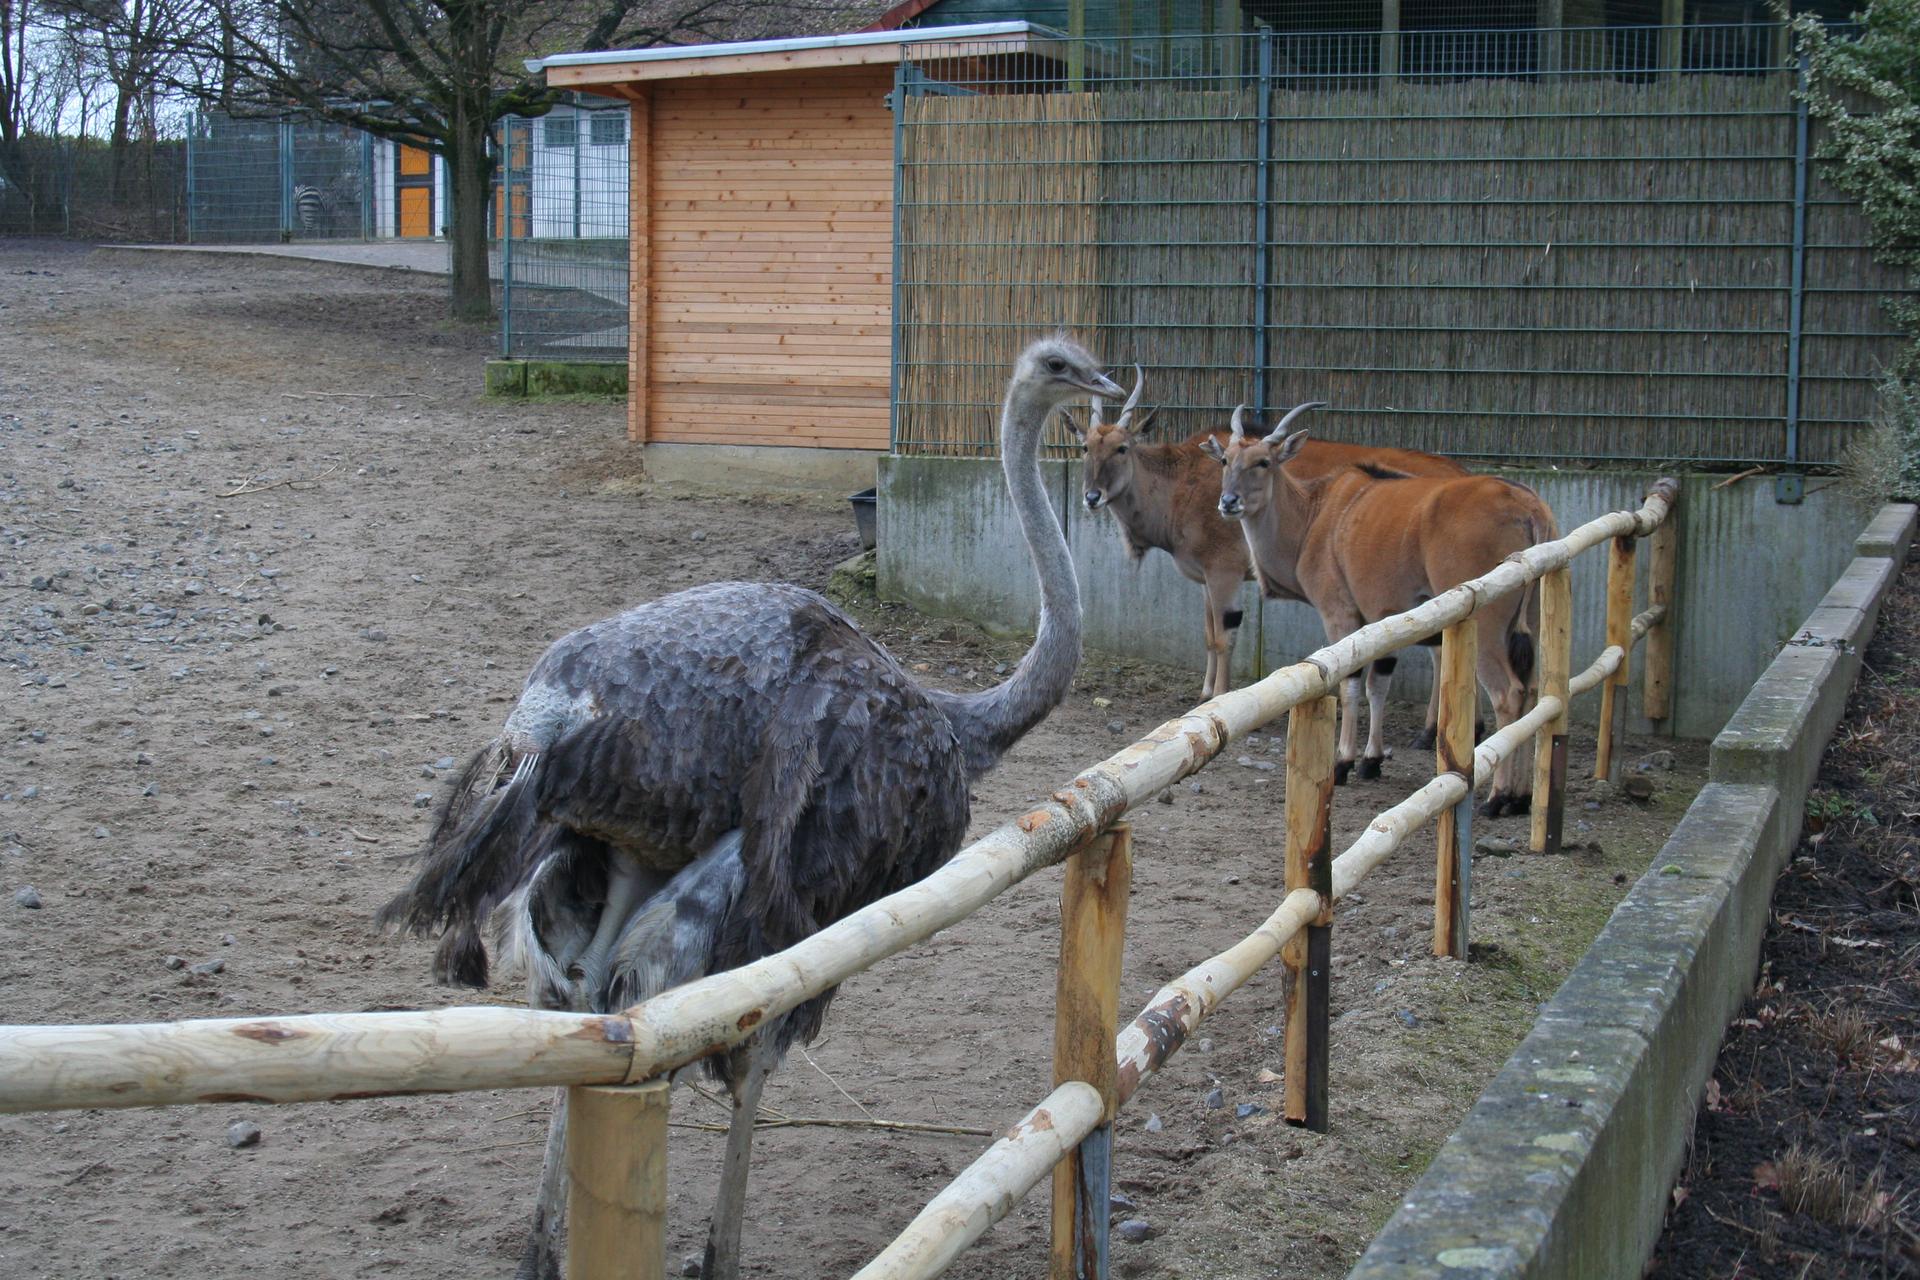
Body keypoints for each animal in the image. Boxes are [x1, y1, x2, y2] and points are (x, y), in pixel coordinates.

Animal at [1082, 368, 1466, 710]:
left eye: (1121, 448)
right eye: (1085, 447)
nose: (1091, 497)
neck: (1181, 481)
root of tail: (1458, 472)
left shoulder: (1224, 572)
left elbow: (1223, 637)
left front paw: (1216, 696)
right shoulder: (1206, 579)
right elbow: (1208, 634)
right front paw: (1204, 691)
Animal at [1213, 404, 1559, 817]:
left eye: (1263, 462)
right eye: (1225, 460)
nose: (1228, 502)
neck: (1317, 515)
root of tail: (1529, 506)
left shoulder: (1341, 616)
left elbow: (1351, 685)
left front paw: (1344, 762)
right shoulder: (1385, 621)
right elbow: (1379, 685)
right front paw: (1371, 761)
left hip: (1488, 624)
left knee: (1508, 694)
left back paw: (1499, 797)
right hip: (1528, 623)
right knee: (1533, 692)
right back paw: (1521, 798)